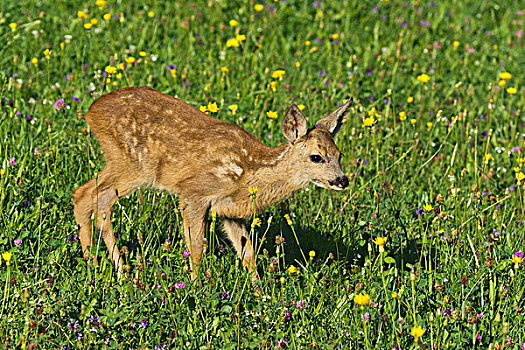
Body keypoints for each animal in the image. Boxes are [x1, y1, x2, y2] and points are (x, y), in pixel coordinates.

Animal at [72, 87, 352, 282]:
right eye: (316, 157)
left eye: (339, 154)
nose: (342, 180)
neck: (248, 173)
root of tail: (91, 111)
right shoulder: (194, 192)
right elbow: (196, 246)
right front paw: (196, 286)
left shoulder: (231, 211)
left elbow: (247, 252)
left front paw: (259, 292)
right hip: (133, 165)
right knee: (93, 198)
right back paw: (109, 268)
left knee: (87, 196)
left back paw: (98, 264)